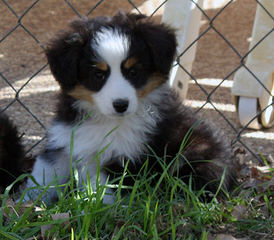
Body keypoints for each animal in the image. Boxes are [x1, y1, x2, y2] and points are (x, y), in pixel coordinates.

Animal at [22, 12, 235, 203]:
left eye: (133, 72)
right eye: (98, 75)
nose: (121, 105)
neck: (106, 121)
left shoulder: (125, 158)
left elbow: (102, 192)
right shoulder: (65, 141)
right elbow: (43, 176)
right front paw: (25, 206)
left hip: (196, 152)